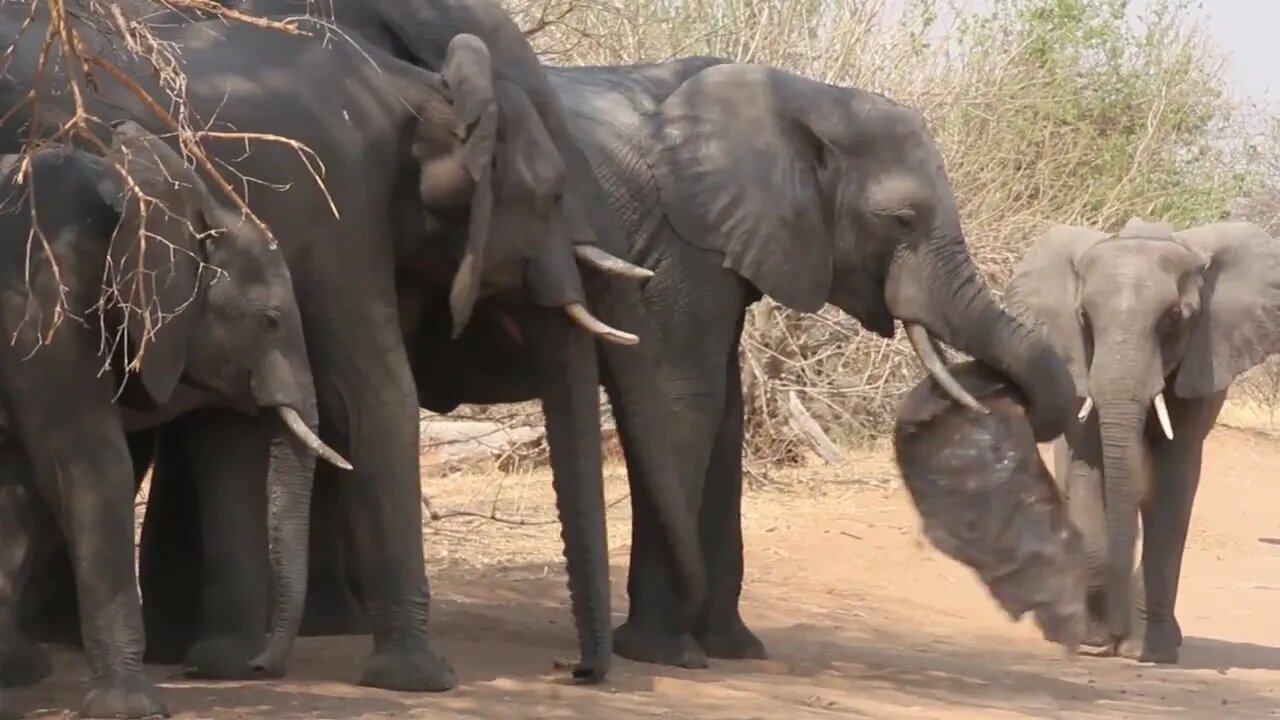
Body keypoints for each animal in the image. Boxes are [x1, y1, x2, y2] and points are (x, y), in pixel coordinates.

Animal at [0, 120, 348, 712]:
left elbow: (22, 490)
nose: (260, 667)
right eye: (271, 321)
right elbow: (92, 467)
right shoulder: (47, 307)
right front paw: (130, 710)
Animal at [1003, 215, 1280, 661]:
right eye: (1083, 316)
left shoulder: (1201, 367)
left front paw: (1148, 652)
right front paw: (1093, 644)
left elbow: (1174, 483)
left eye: (1173, 318)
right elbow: (1089, 469)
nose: (1114, 638)